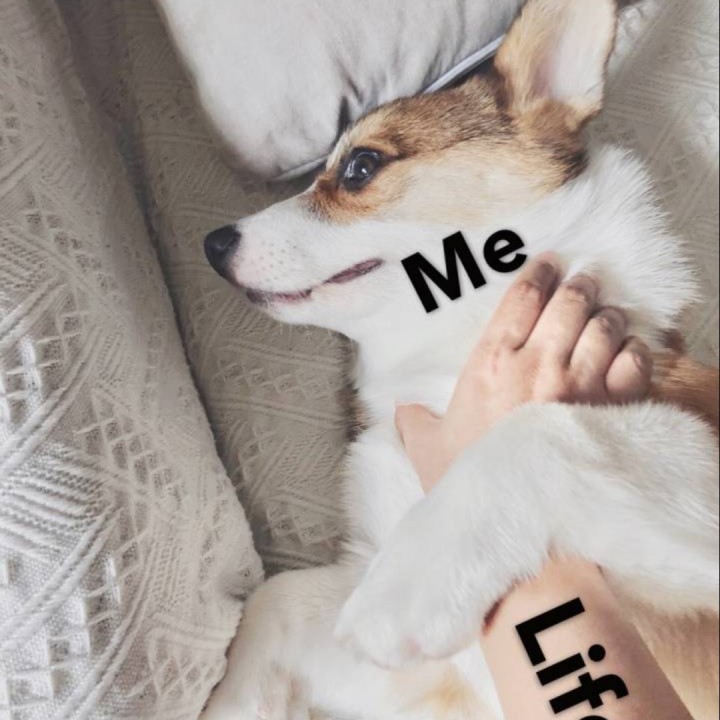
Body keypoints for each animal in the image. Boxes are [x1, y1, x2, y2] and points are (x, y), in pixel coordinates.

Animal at [201, 0, 719, 717]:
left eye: (360, 166)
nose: (213, 245)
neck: (445, 357)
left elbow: (542, 429)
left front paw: (404, 586)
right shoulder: (435, 679)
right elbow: (271, 603)